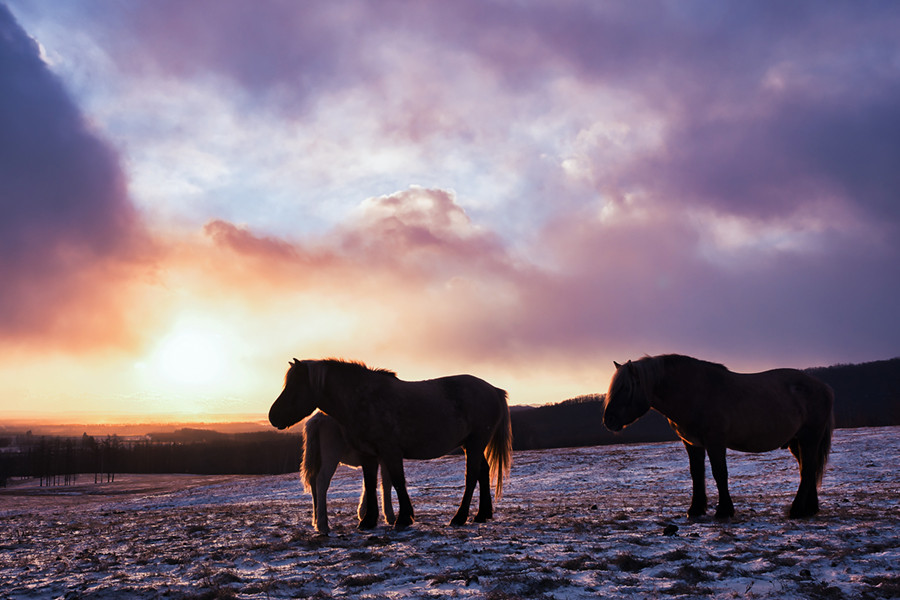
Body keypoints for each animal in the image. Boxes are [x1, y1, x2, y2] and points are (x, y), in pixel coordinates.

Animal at [268, 356, 512, 528]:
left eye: (294, 387)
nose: (272, 416)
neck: (364, 398)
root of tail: (493, 390)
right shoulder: (369, 454)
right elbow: (370, 483)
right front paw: (368, 520)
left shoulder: (390, 451)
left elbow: (396, 482)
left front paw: (403, 518)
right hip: (472, 444)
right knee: (483, 472)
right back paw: (482, 514)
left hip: (475, 443)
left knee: (472, 476)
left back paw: (460, 517)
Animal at [604, 354, 836, 516]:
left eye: (626, 388)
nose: (609, 420)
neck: (695, 392)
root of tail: (823, 387)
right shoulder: (692, 444)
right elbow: (697, 474)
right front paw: (695, 509)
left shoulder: (715, 443)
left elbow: (719, 473)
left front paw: (724, 510)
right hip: (797, 442)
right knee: (808, 469)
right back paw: (810, 508)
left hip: (809, 438)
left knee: (808, 470)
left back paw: (797, 510)